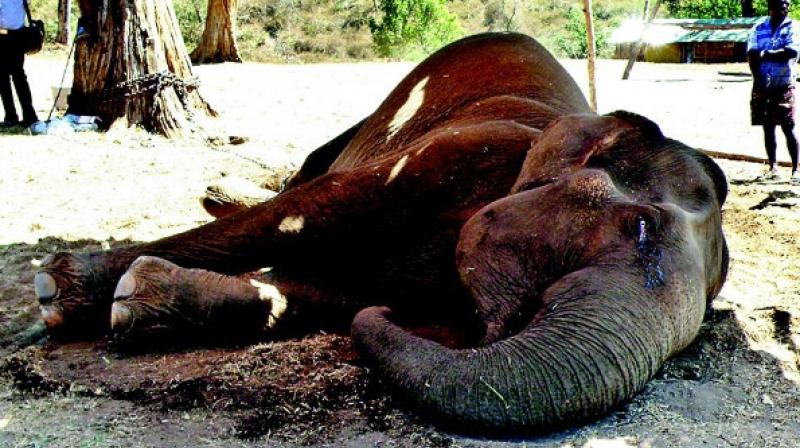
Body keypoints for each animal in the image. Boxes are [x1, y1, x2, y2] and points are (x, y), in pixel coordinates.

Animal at [33, 32, 729, 434]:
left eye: (691, 343)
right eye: (638, 226)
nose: (393, 315)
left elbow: (326, 291)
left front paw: (139, 300)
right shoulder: (457, 150)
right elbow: (314, 212)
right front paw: (62, 291)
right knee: (305, 179)